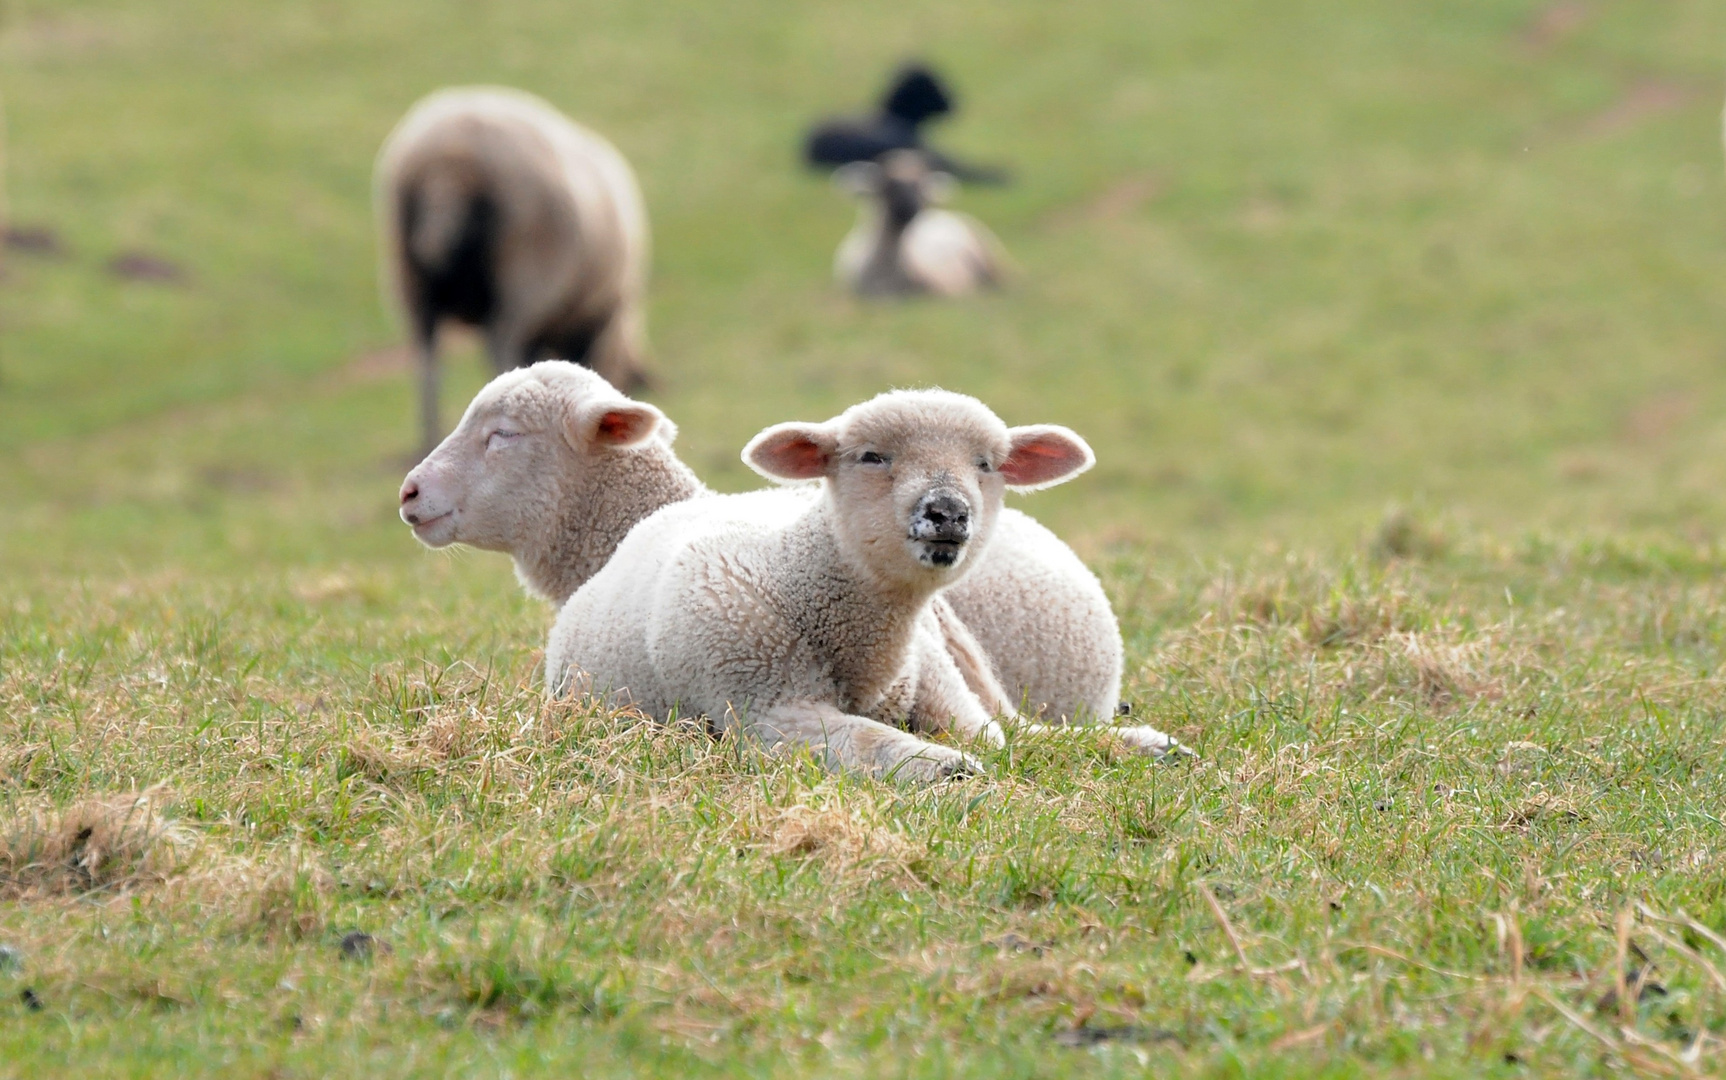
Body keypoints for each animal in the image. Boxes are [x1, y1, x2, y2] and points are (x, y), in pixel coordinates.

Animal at [374, 84, 648, 455]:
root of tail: (448, 165)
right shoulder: (593, 319)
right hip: (523, 270)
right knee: (499, 344)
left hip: (413, 281)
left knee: (427, 362)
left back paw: (429, 437)